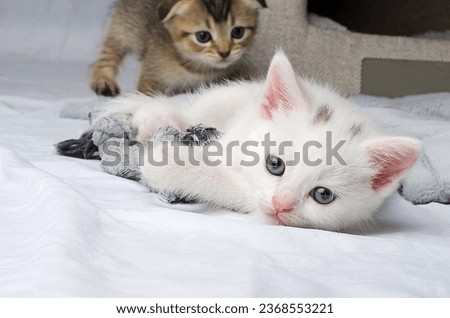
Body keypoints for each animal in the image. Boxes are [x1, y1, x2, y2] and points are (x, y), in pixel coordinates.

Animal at [91, 0, 268, 97]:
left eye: (237, 32)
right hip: (126, 23)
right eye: (203, 36)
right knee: (110, 47)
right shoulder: (152, 73)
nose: (225, 53)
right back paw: (103, 80)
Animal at [96, 51, 422, 231]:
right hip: (227, 96)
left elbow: (226, 184)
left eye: (323, 195)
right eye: (274, 164)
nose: (281, 205)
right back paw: (155, 117)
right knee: (190, 109)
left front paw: (168, 162)